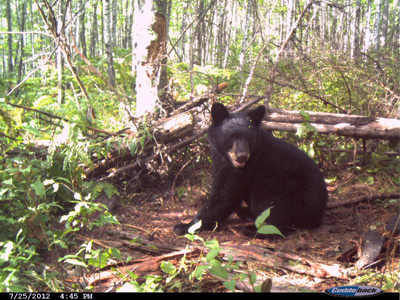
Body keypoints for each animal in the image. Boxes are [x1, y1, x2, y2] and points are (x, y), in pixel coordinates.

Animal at [173, 103, 328, 237]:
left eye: (248, 137)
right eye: (231, 137)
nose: (242, 156)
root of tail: (318, 216)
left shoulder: (249, 166)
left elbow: (224, 195)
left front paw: (186, 226)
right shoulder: (219, 159)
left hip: (291, 190)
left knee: (272, 203)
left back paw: (254, 230)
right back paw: (244, 212)